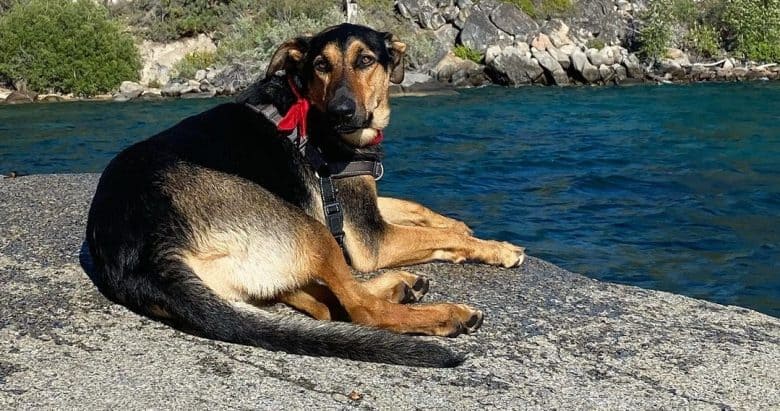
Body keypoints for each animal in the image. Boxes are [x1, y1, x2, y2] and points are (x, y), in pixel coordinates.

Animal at [84, 22, 524, 366]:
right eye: (320, 65)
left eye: (365, 61)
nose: (342, 113)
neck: (309, 108)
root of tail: (140, 256)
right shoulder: (370, 240)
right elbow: (436, 235)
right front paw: (496, 248)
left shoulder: (361, 207)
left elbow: (417, 208)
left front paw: (462, 226)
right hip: (307, 227)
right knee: (360, 310)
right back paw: (443, 314)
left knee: (324, 303)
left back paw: (399, 286)